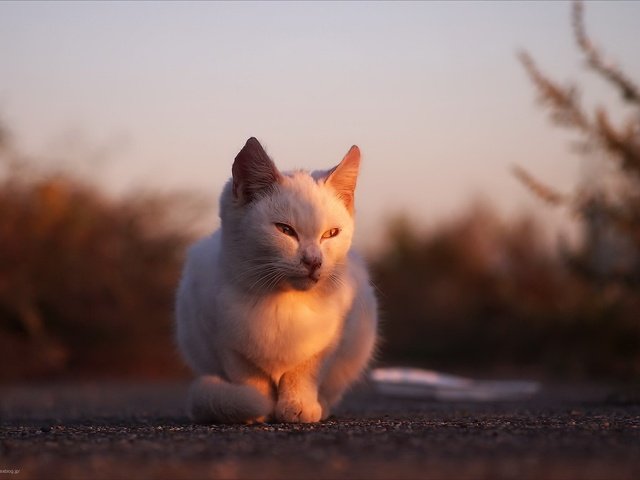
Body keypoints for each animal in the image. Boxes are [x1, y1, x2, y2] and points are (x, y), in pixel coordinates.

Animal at [175, 139, 378, 424]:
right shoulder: (226, 343)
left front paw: (298, 405)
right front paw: (259, 408)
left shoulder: (331, 340)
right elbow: (253, 379)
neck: (282, 301)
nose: (313, 261)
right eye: (285, 230)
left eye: (331, 234)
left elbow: (303, 372)